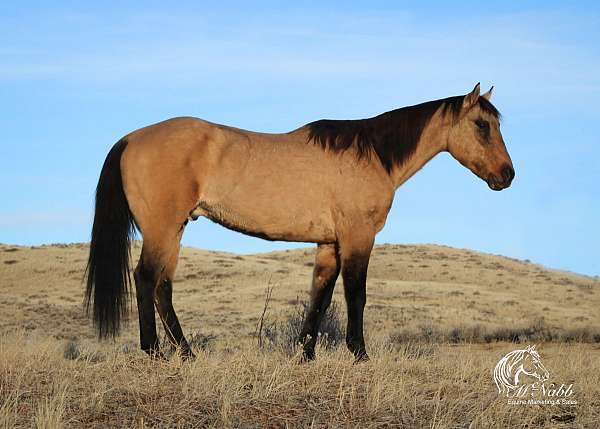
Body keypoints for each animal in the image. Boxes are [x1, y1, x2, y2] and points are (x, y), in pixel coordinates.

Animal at [84, 83, 516, 362]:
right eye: (481, 125)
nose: (507, 175)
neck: (373, 155)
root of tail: (131, 138)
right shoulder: (357, 237)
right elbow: (356, 294)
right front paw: (360, 355)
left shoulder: (329, 244)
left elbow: (320, 297)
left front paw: (305, 355)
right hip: (163, 228)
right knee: (146, 279)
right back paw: (154, 352)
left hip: (175, 230)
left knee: (162, 287)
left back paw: (186, 354)